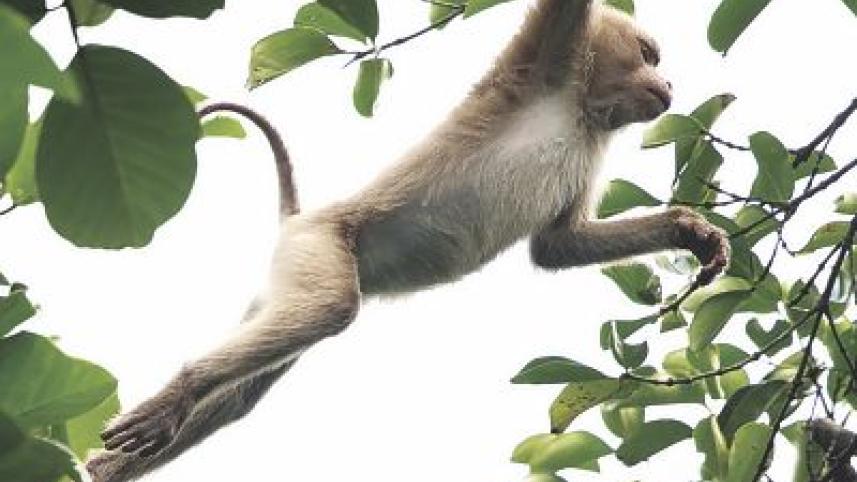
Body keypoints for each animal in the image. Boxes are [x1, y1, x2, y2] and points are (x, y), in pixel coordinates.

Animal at [86, 1, 729, 480]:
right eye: (647, 56)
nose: (667, 81)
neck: (578, 112)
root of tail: (300, 219)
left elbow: (557, 247)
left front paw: (690, 231)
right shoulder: (544, 58)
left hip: (287, 276)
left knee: (251, 383)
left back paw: (109, 460)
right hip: (322, 245)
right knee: (329, 308)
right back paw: (181, 391)